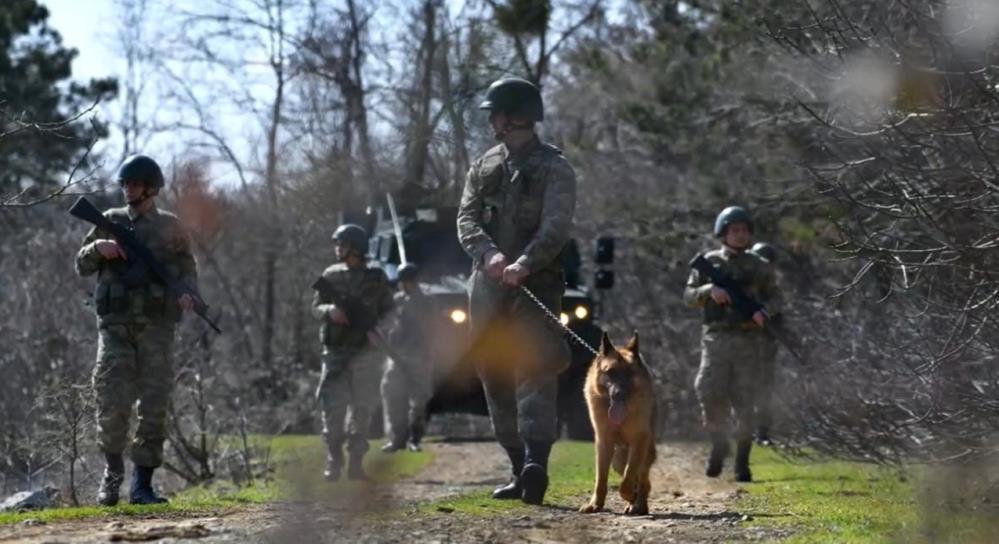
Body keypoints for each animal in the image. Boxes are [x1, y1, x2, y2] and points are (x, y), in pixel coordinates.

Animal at [580, 332, 656, 516]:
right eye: (610, 372)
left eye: (629, 373)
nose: (618, 393)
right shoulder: (603, 443)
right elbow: (601, 479)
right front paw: (595, 504)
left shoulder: (639, 441)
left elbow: (628, 478)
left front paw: (630, 496)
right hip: (618, 460)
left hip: (643, 453)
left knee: (643, 480)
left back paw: (638, 504)